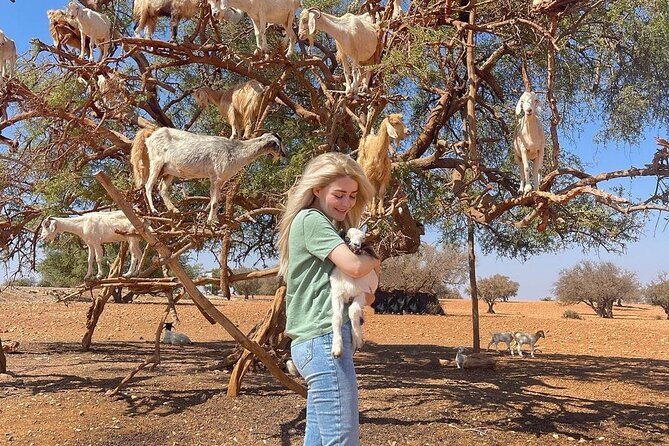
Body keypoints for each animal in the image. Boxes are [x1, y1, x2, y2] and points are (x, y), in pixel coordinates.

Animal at [131, 128, 284, 226]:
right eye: (277, 144)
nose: (284, 154)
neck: (235, 151)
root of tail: (150, 134)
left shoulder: (219, 180)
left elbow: (215, 200)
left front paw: (212, 219)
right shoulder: (216, 177)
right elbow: (215, 201)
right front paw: (211, 222)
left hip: (169, 171)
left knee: (162, 189)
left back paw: (175, 210)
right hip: (156, 163)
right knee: (148, 185)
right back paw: (154, 211)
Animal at [328, 228, 378, 358]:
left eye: (363, 238)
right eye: (346, 237)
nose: (356, 245)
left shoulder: (363, 294)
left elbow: (353, 311)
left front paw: (357, 339)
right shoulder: (337, 294)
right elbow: (337, 318)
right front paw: (337, 349)